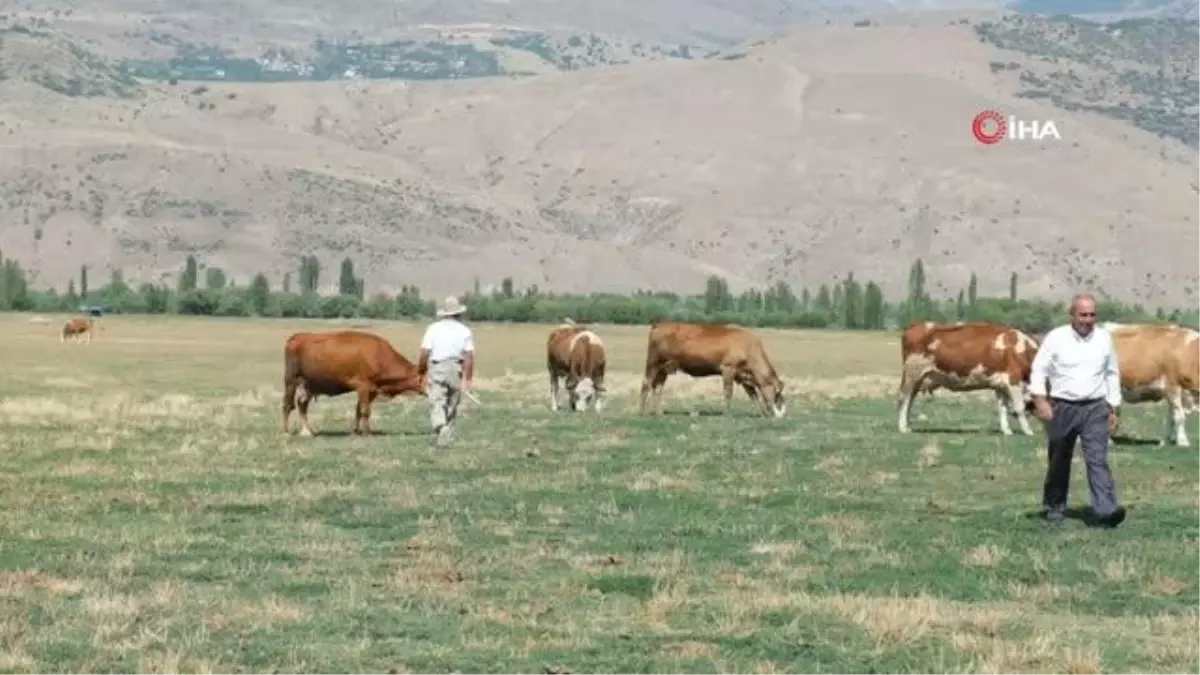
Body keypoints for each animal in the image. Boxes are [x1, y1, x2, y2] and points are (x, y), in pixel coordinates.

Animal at [282, 329, 427, 437]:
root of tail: (298, 336)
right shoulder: (362, 386)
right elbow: (365, 411)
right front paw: (367, 433)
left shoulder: (371, 390)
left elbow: (359, 410)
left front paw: (357, 431)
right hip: (291, 381)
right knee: (287, 405)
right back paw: (287, 431)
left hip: (309, 384)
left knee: (302, 405)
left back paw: (308, 431)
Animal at [638, 319, 787, 415]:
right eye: (777, 393)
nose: (777, 412)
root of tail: (660, 324)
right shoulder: (728, 369)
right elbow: (728, 392)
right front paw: (727, 413)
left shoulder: (743, 376)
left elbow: (753, 395)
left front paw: (762, 414)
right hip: (654, 363)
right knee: (646, 384)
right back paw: (642, 412)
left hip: (664, 369)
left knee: (658, 388)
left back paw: (659, 413)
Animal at [902, 319, 1041, 437]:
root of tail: (914, 327)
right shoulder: (1014, 381)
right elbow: (1019, 408)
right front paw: (1028, 431)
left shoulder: (1000, 385)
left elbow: (1002, 408)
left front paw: (1006, 430)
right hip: (912, 375)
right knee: (904, 399)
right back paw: (903, 427)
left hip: (919, 379)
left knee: (910, 400)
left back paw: (907, 426)